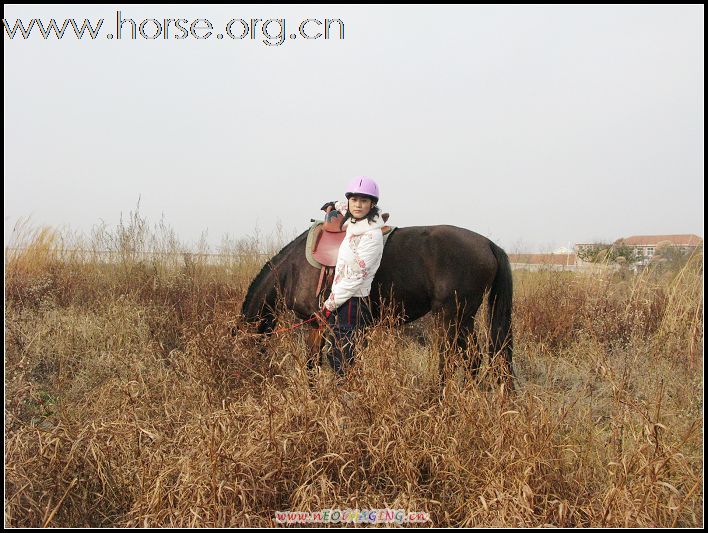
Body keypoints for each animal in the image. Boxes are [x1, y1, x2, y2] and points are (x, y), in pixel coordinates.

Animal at [241, 223, 512, 382]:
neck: (294, 269)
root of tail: (488, 244)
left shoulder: (323, 324)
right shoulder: (319, 326)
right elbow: (316, 365)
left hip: (451, 316)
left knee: (451, 360)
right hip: (464, 318)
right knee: (473, 360)